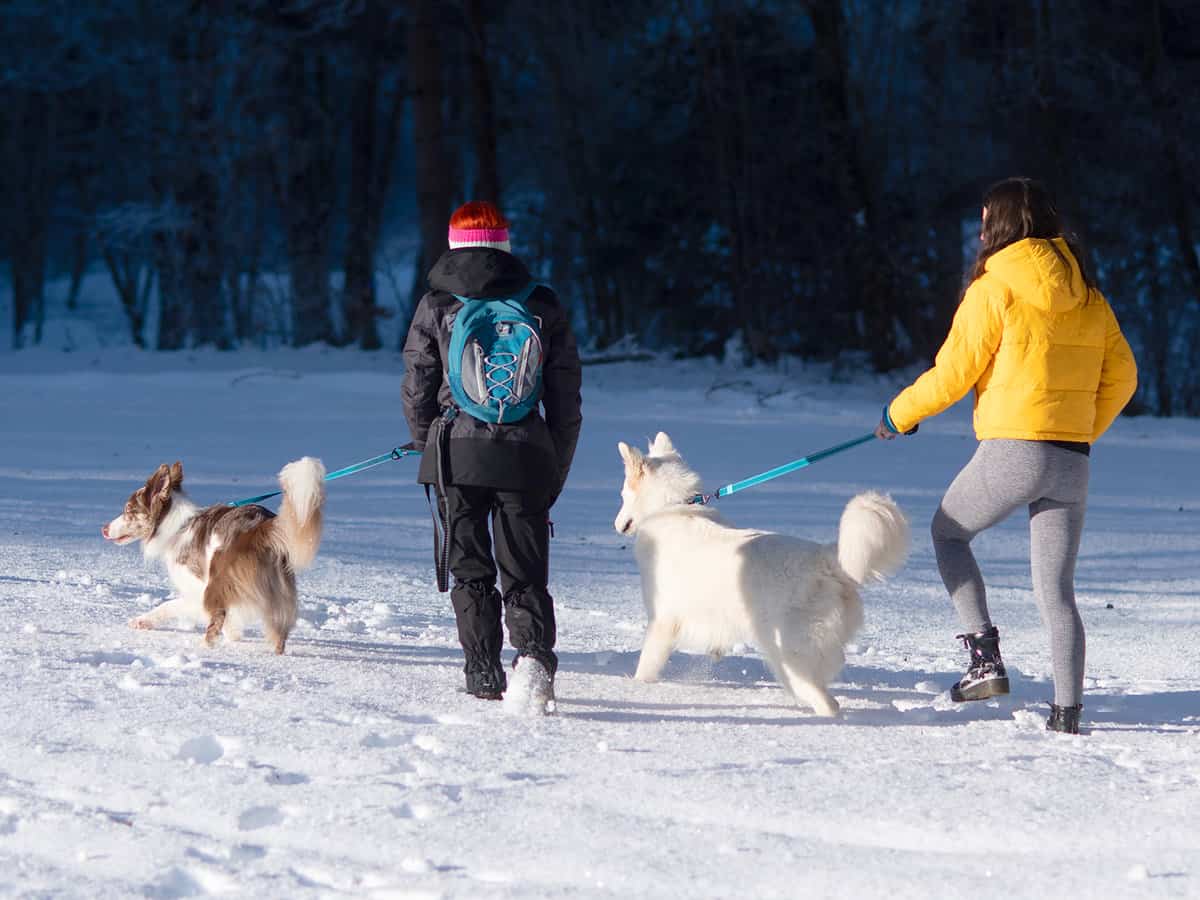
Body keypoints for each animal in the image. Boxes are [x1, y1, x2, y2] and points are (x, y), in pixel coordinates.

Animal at [100, 458, 326, 657]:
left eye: (128, 510)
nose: (104, 529)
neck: (176, 528)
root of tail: (261, 527)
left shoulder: (197, 589)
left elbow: (170, 605)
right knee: (279, 632)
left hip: (218, 580)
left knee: (216, 619)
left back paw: (204, 647)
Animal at [614, 434, 902, 715]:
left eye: (623, 494)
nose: (616, 525)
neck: (672, 508)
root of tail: (825, 557)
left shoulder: (661, 620)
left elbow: (647, 663)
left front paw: (637, 686)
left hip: (786, 654)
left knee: (826, 701)